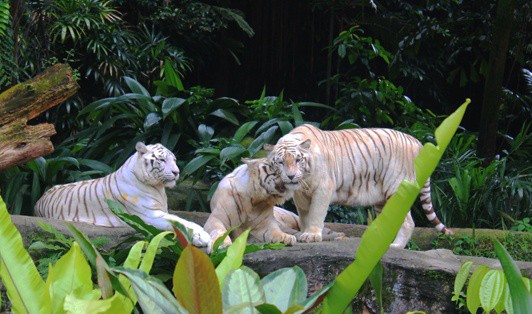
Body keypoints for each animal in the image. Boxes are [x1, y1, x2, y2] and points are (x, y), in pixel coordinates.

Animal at [32, 142, 212, 248]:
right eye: (162, 160)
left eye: (174, 160)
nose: (176, 172)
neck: (158, 188)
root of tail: (38, 201)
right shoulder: (148, 216)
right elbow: (181, 221)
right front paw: (203, 237)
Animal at [204, 157, 344, 253]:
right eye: (279, 165)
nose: (295, 174)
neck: (253, 199)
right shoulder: (216, 219)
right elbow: (220, 232)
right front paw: (221, 245)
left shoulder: (265, 224)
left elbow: (275, 231)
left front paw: (284, 238)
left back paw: (336, 235)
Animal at [266, 122, 454, 248]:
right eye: (281, 162)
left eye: (298, 160)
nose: (290, 176)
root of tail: (417, 142)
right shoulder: (301, 195)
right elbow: (304, 215)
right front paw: (304, 233)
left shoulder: (323, 188)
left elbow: (316, 213)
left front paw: (311, 235)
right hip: (382, 199)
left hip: (396, 189)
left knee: (408, 222)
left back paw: (395, 246)